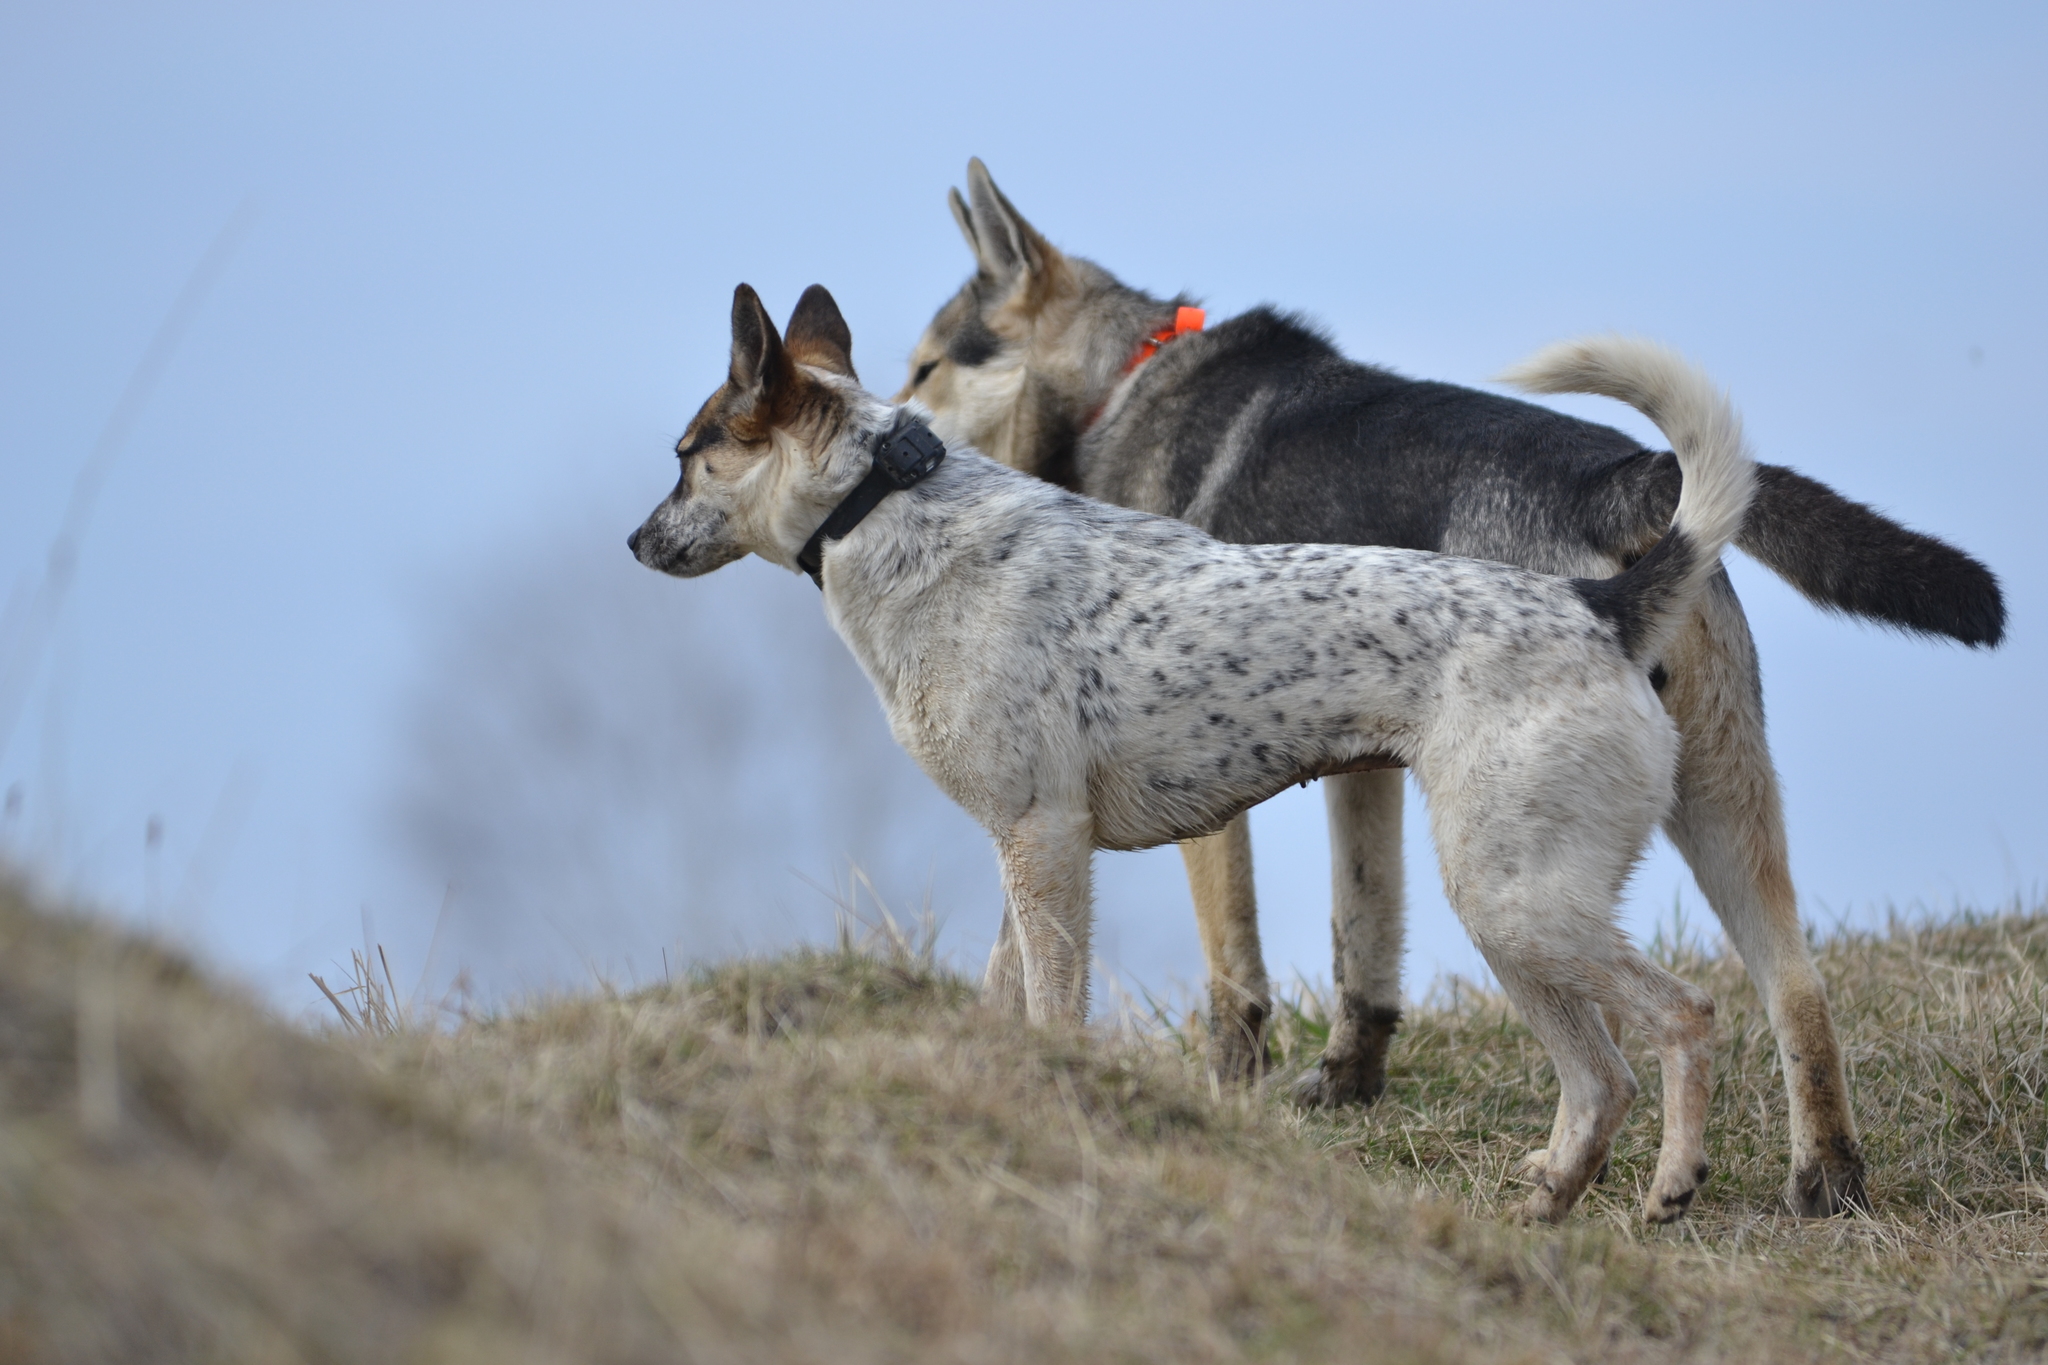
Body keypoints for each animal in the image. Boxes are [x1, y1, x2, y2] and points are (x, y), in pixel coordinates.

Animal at [630, 282, 1753, 1219]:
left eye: (688, 453)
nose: (636, 544)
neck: (887, 509)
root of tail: (1602, 606)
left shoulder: (1043, 842)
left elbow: (1051, 1006)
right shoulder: (1023, 849)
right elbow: (1006, 997)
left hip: (1517, 902)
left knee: (1684, 1016)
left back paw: (1670, 1185)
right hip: (1515, 917)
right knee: (1598, 1079)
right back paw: (1552, 1197)